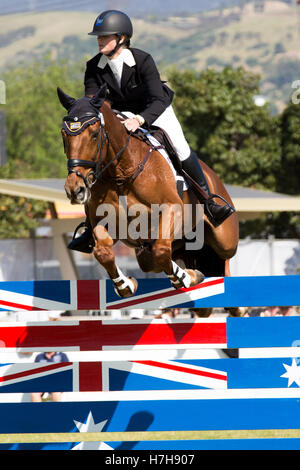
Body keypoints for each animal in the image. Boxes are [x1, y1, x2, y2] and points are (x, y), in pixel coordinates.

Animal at [58, 86, 244, 318]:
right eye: (64, 135)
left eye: (94, 134)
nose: (75, 190)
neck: (122, 173)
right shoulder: (105, 223)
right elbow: (104, 253)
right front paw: (126, 285)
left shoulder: (172, 210)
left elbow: (162, 251)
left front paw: (186, 278)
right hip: (154, 252)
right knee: (164, 260)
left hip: (224, 239)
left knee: (223, 260)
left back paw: (235, 303)